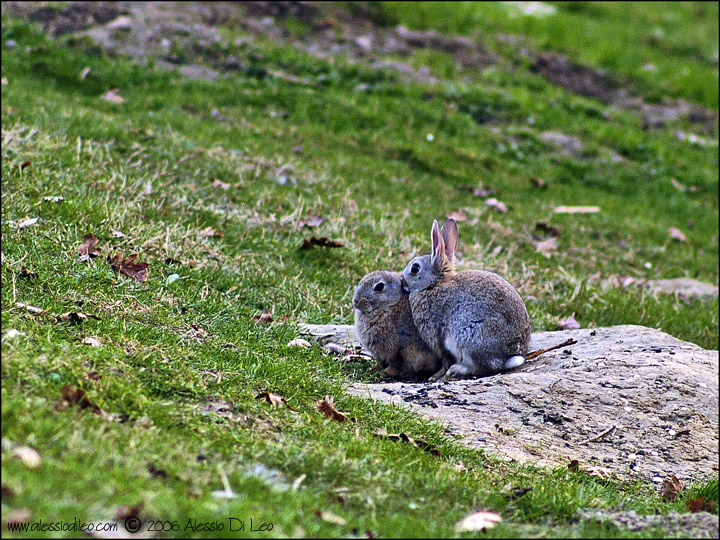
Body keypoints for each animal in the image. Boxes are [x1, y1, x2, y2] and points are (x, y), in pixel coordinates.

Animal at [402, 217, 532, 382]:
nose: (402, 282)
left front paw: (435, 377)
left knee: (480, 366)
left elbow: (444, 360)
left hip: (468, 335)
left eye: (415, 268)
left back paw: (456, 370)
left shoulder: (438, 336)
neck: (433, 285)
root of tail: (511, 354)